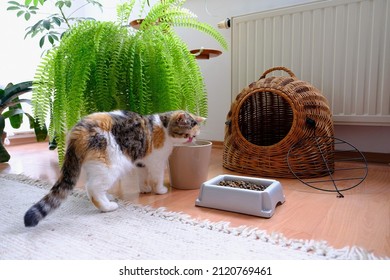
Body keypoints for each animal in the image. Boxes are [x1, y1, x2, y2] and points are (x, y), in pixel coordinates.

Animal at [23, 110, 207, 226]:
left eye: (195, 135)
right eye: (187, 134)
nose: (192, 140)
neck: (164, 126)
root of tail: (78, 130)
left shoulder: (140, 161)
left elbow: (142, 176)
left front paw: (145, 189)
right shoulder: (157, 161)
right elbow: (157, 177)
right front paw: (160, 190)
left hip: (95, 166)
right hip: (109, 167)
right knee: (93, 188)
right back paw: (108, 206)